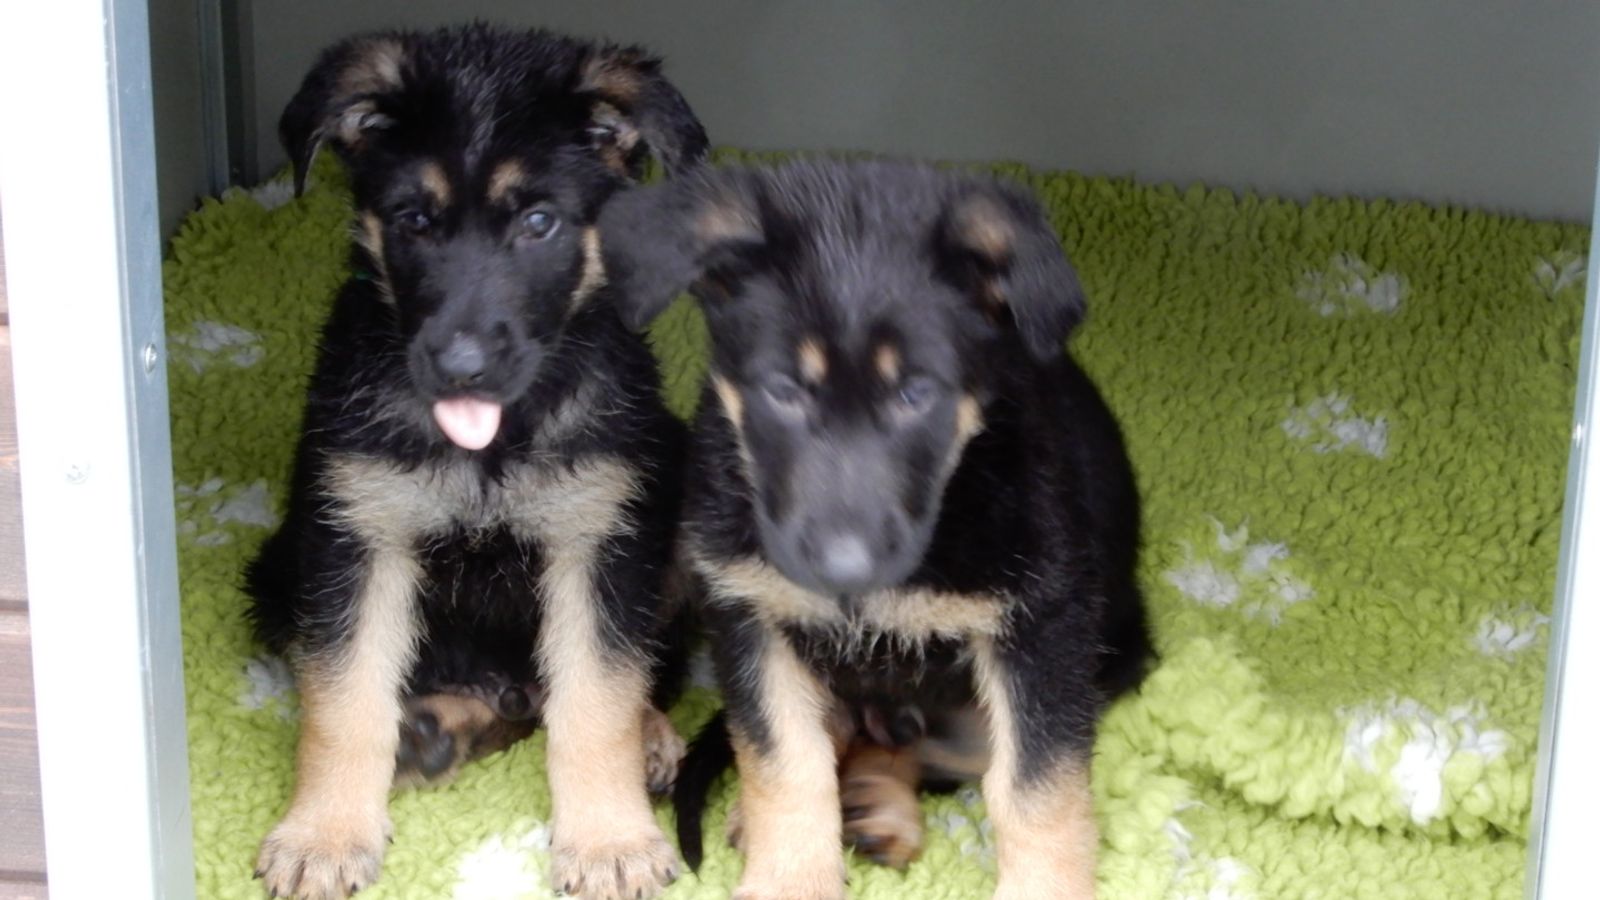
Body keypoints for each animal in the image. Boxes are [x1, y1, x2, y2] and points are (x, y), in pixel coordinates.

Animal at [601, 160, 1152, 896]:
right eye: (784, 389)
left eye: (915, 393)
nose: (844, 571)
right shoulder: (751, 614)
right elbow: (784, 764)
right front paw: (788, 876)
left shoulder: (1043, 632)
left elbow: (1036, 791)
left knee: (930, 746)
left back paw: (876, 805)